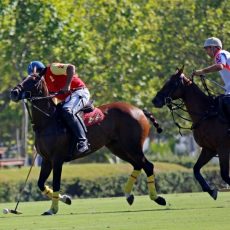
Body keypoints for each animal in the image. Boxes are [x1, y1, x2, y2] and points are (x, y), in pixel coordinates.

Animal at [10, 74, 165, 215]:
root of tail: (139, 110)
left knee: (148, 165)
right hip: (118, 147)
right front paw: (66, 199)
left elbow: (56, 183)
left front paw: (53, 209)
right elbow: (41, 184)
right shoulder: (47, 160)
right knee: (138, 165)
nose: (14, 92)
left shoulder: (57, 159)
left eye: (33, 79)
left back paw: (157, 198)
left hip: (133, 146)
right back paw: (129, 195)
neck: (48, 122)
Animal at [153, 67, 230, 200]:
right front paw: (211, 191)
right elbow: (196, 169)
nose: (155, 100)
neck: (207, 114)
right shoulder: (209, 149)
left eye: (172, 83)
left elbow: (225, 174)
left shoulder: (223, 148)